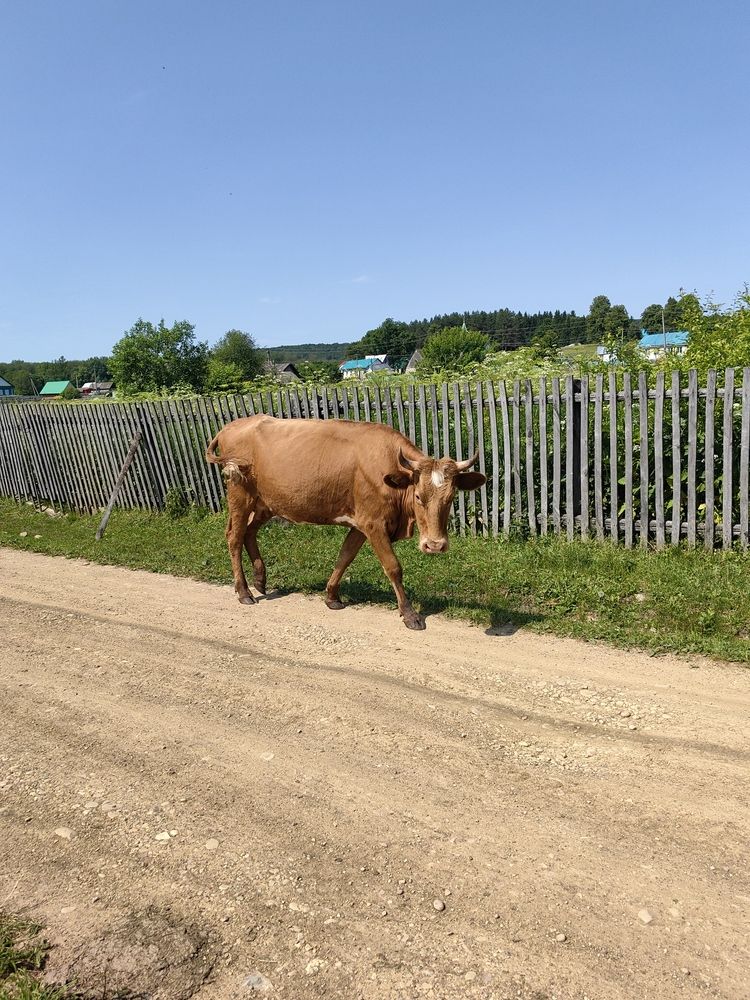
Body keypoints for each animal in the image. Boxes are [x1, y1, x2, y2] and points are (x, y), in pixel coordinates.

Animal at [206, 415, 485, 630]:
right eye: (418, 496)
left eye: (451, 497)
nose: (435, 545)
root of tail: (231, 426)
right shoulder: (374, 524)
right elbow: (393, 567)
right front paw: (409, 614)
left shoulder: (360, 524)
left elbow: (345, 556)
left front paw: (331, 596)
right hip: (240, 495)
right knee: (234, 537)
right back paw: (244, 591)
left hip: (267, 502)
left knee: (249, 533)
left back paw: (260, 579)